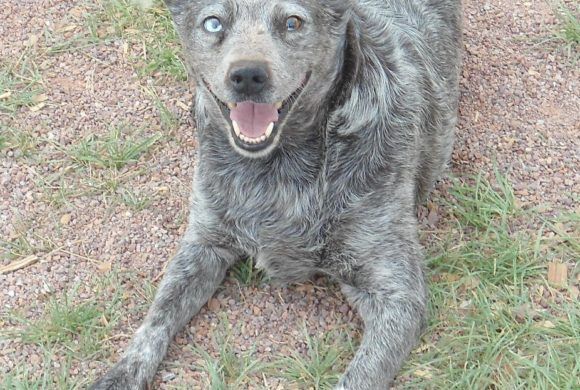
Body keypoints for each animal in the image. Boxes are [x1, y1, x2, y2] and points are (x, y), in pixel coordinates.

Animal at [92, 0, 462, 388]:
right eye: (213, 23)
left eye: (292, 23)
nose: (247, 75)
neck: (277, 168)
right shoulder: (205, 243)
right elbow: (157, 318)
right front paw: (121, 373)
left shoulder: (397, 295)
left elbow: (360, 376)